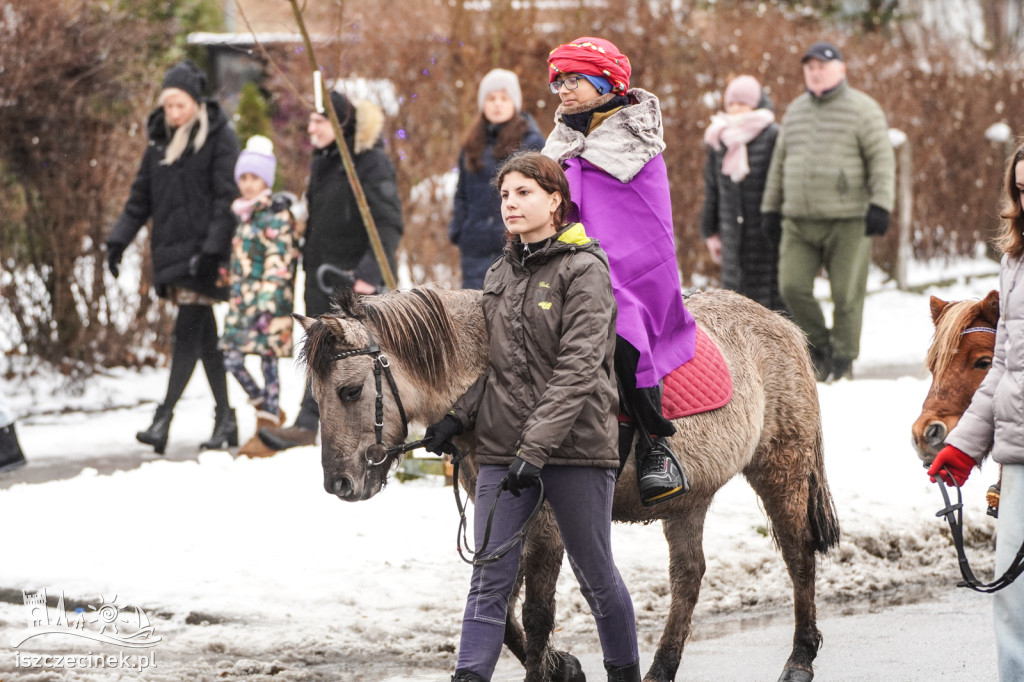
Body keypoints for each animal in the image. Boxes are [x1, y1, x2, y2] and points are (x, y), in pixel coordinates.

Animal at [296, 284, 839, 675]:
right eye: (316, 398)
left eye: (349, 391)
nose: (339, 484)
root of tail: (783, 324)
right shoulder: (504, 515)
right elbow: (499, 607)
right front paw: (564, 665)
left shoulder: (548, 522)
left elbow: (536, 613)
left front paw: (550, 667)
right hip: (689, 501)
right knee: (688, 576)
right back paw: (661, 667)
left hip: (781, 466)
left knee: (797, 555)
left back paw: (800, 657)